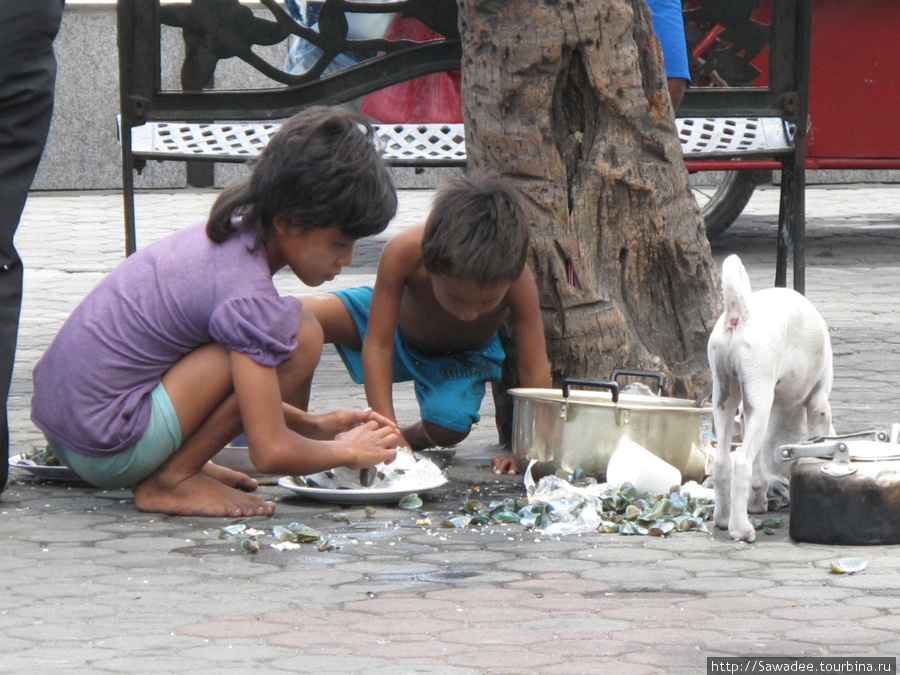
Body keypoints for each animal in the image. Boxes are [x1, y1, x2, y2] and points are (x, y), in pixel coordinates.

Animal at [708, 254, 832, 544]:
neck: (787, 409)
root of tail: (741, 313)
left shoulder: (747, 415)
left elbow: (758, 467)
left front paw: (757, 501)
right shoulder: (819, 403)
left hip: (724, 396)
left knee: (723, 461)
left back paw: (723, 519)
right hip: (757, 394)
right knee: (741, 462)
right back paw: (741, 530)